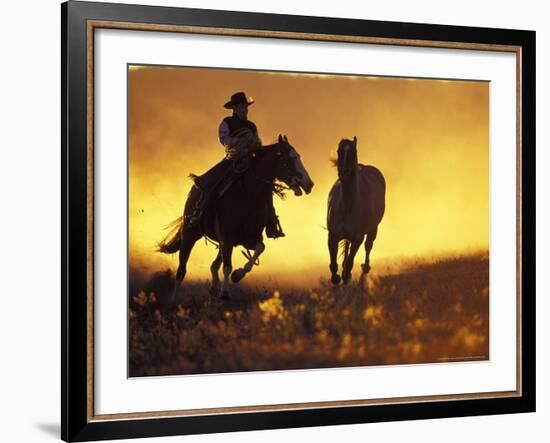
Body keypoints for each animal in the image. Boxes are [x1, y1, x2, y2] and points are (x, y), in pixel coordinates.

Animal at [160, 135, 314, 302]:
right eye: (289, 158)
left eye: (298, 156)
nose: (309, 184)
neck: (248, 196)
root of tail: (194, 191)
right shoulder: (228, 238)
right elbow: (227, 266)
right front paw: (225, 293)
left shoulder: (247, 238)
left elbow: (259, 249)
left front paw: (237, 275)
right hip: (190, 235)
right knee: (182, 269)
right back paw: (173, 299)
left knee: (214, 265)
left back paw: (213, 287)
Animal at [328, 137, 388, 286]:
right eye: (339, 151)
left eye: (353, 152)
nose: (343, 173)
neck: (347, 206)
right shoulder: (332, 236)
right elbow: (333, 264)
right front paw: (336, 278)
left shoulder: (358, 238)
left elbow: (350, 262)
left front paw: (345, 276)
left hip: (373, 229)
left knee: (368, 246)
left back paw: (365, 268)